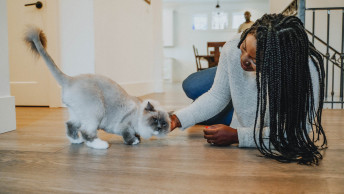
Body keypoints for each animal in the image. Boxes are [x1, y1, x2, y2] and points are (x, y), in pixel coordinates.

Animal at [23, 26, 169, 149]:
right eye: (155, 120)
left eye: (164, 123)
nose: (159, 128)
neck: (138, 114)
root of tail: (70, 79)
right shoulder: (124, 126)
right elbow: (128, 135)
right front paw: (134, 141)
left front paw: (138, 139)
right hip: (96, 111)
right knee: (86, 132)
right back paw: (101, 145)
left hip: (79, 114)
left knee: (71, 125)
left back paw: (77, 141)